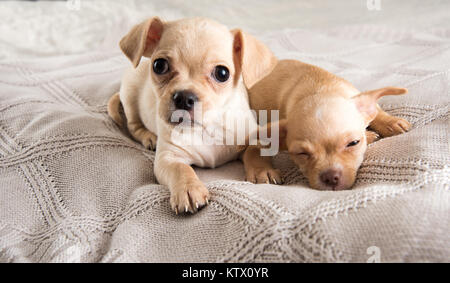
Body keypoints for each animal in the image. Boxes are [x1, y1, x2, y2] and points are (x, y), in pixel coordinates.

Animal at [109, 17, 278, 213]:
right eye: (159, 65)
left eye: (222, 73)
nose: (183, 98)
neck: (207, 127)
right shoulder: (168, 158)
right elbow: (181, 169)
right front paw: (188, 190)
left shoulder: (252, 136)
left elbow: (255, 151)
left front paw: (261, 171)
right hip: (130, 95)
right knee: (133, 125)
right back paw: (149, 137)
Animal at [243, 59, 412, 192]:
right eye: (301, 153)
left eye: (353, 143)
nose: (330, 177)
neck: (320, 90)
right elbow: (254, 148)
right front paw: (262, 170)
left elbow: (375, 110)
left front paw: (391, 122)